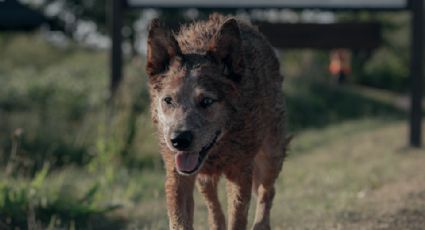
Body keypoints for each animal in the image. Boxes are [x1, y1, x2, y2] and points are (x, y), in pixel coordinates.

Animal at [145, 13, 288, 229]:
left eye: (206, 101)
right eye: (168, 100)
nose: (178, 140)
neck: (219, 148)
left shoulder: (240, 172)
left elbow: (238, 218)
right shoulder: (177, 175)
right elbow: (180, 219)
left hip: (271, 154)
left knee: (267, 191)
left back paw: (261, 224)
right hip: (204, 178)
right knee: (213, 204)